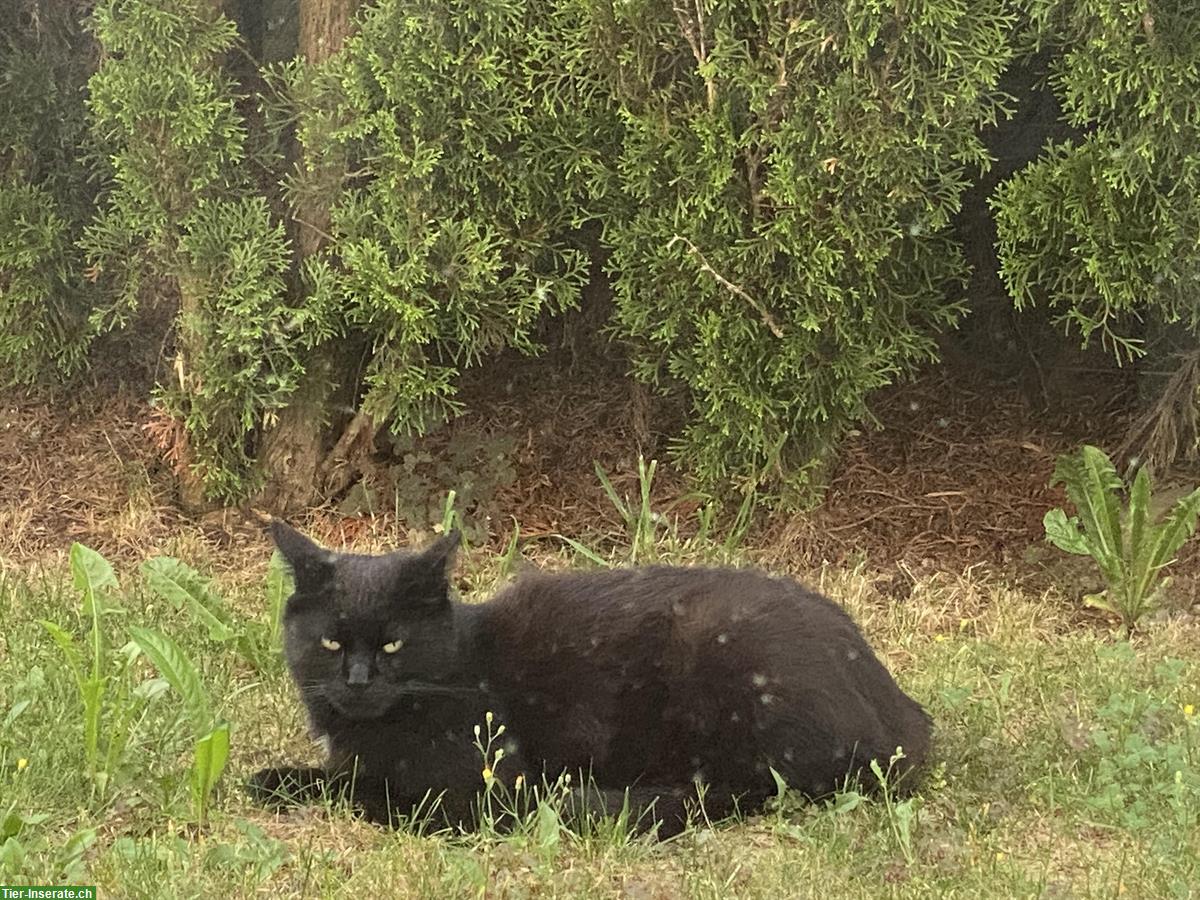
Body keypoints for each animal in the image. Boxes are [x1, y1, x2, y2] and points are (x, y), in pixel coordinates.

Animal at [248, 520, 931, 840]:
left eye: (393, 643)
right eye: (331, 642)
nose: (359, 681)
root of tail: (902, 711)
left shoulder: (470, 784)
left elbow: (368, 791)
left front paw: (288, 782)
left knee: (743, 790)